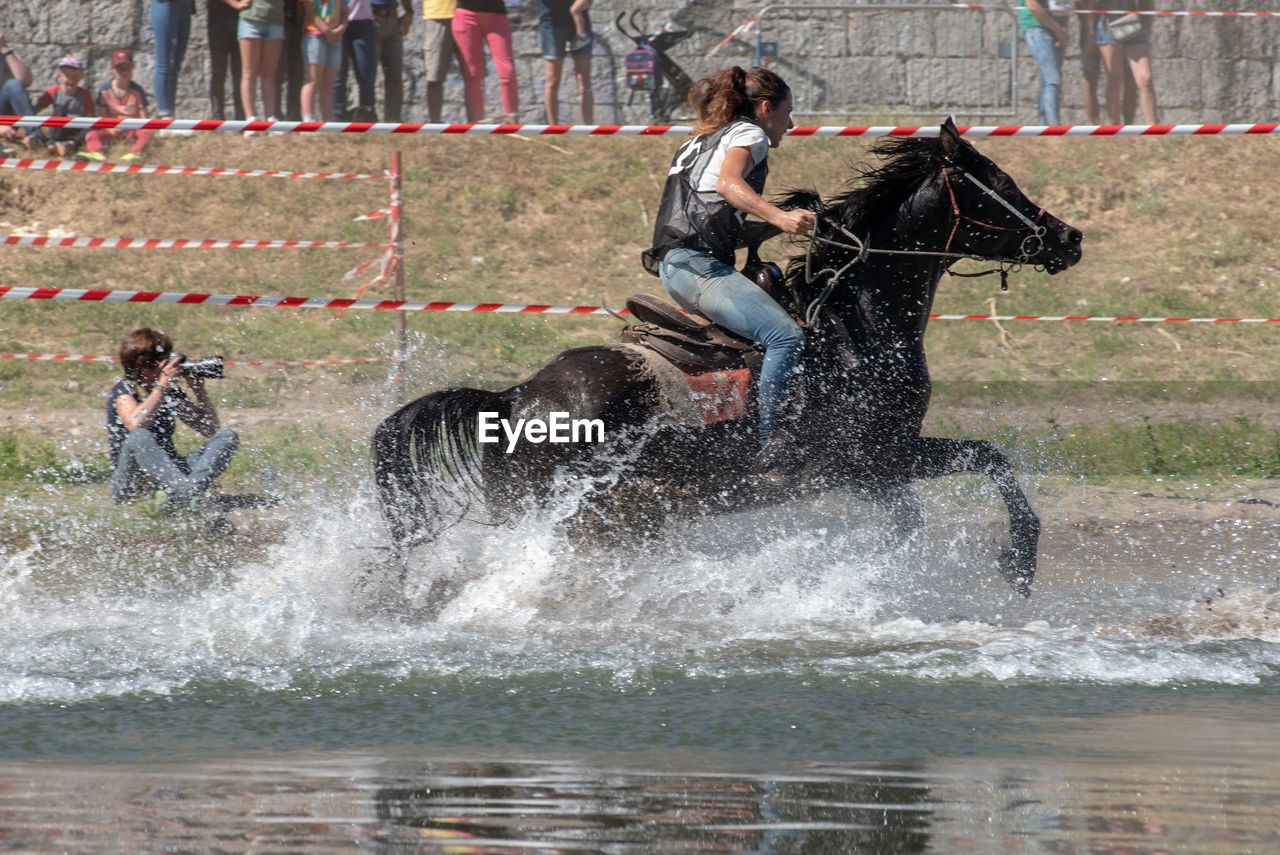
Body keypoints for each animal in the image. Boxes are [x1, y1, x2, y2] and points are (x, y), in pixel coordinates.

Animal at [373, 121, 1085, 593]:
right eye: (1001, 184)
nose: (1069, 237)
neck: (858, 321)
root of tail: (513, 399)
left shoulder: (872, 472)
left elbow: (916, 515)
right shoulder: (876, 454)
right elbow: (990, 459)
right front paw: (1019, 563)